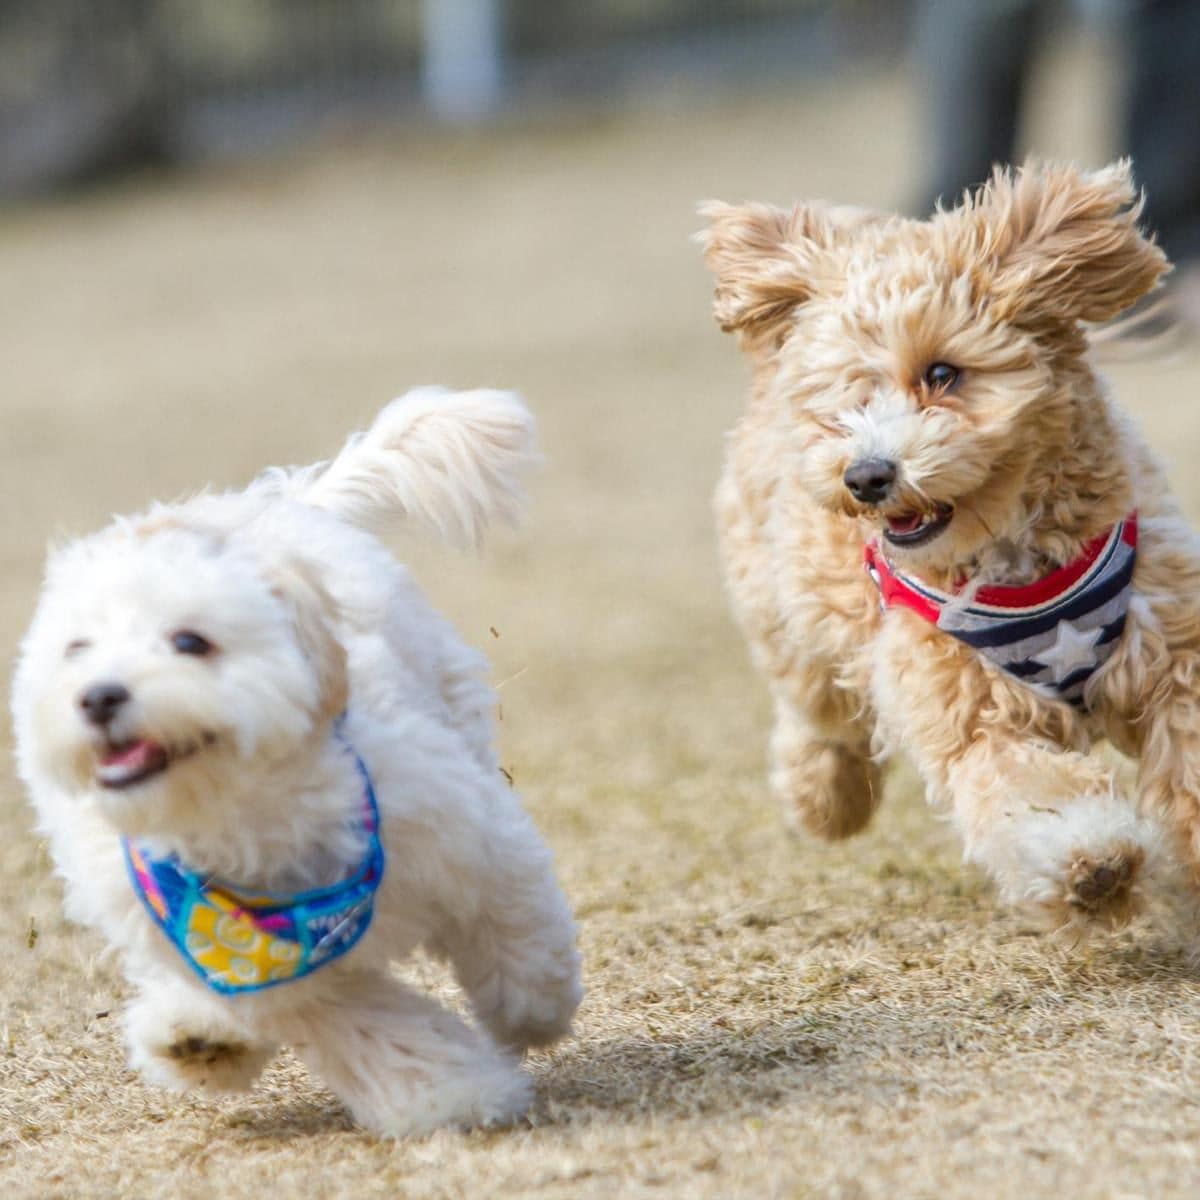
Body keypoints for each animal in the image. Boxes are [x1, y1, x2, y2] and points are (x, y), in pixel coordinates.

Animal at [11, 388, 583, 1137]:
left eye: (191, 641)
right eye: (77, 649)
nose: (98, 695)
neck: (243, 821)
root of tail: (281, 498)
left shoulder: (462, 834)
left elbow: (514, 918)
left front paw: (531, 1008)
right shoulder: (278, 981)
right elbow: (376, 1031)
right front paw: (456, 1095)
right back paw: (193, 1033)